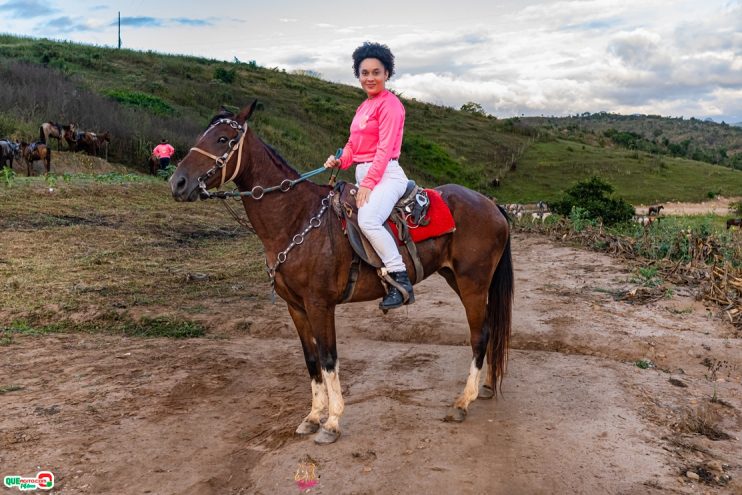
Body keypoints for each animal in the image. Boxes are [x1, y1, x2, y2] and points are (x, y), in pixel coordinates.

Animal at [171, 101, 516, 446]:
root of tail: (492, 205)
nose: (178, 183)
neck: (297, 218)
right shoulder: (296, 308)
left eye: (224, 139)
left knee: (480, 334)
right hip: (457, 279)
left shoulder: (319, 305)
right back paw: (485, 386)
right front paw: (313, 416)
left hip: (472, 283)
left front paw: (332, 421)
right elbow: (311, 360)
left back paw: (463, 401)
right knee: (489, 328)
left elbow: (328, 359)